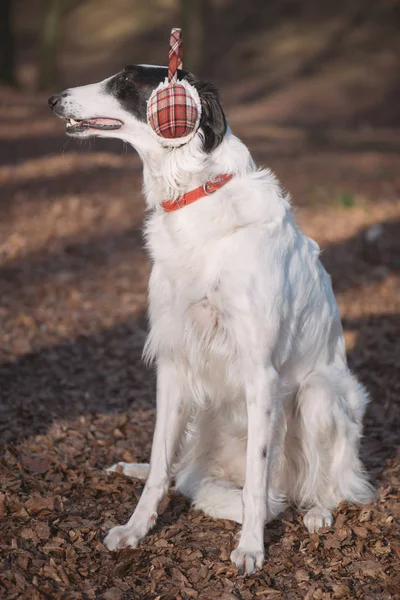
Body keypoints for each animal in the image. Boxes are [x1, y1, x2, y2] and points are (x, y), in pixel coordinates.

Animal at [48, 63, 374, 576]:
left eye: (123, 82)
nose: (53, 99)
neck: (194, 195)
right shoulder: (173, 363)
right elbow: (160, 462)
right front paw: (135, 529)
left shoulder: (260, 373)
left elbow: (259, 482)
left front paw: (251, 548)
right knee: (182, 471)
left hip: (319, 395)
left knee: (330, 486)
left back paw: (317, 510)